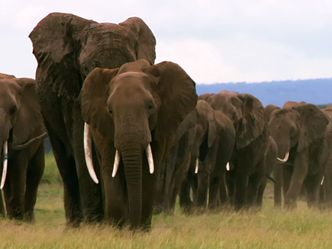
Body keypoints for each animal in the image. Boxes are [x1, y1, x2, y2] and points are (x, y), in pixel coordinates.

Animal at [0, 73, 46, 221]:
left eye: (13, 110)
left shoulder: (24, 127)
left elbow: (18, 167)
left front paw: (18, 221)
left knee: (35, 171)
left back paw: (28, 220)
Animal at [28, 12, 156, 226]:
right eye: (87, 69)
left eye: (128, 66)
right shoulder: (74, 91)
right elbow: (83, 148)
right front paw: (95, 224)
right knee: (66, 163)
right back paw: (75, 225)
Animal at [79, 58, 197, 230]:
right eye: (110, 111)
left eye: (150, 107)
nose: (132, 228)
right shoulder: (106, 129)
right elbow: (111, 170)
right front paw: (117, 230)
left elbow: (148, 173)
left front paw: (139, 231)